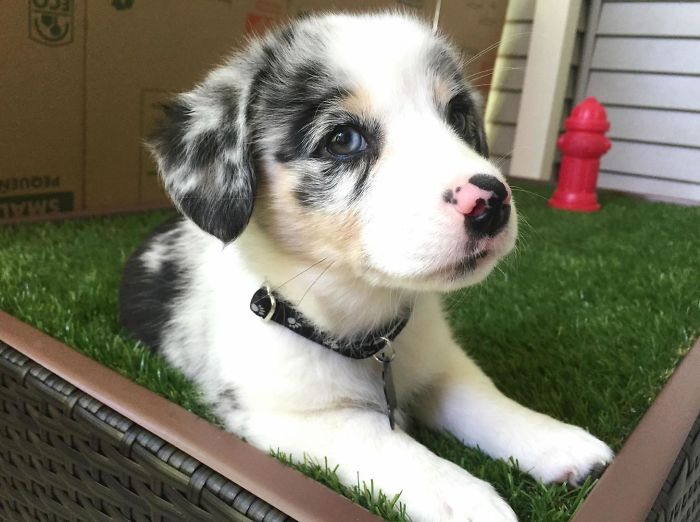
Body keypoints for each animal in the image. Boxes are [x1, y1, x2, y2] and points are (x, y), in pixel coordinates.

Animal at [120, 13, 612, 520]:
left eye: (457, 114)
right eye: (343, 140)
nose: (491, 202)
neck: (364, 323)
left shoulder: (443, 363)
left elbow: (485, 400)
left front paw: (554, 439)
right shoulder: (296, 415)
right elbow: (396, 449)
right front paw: (467, 499)